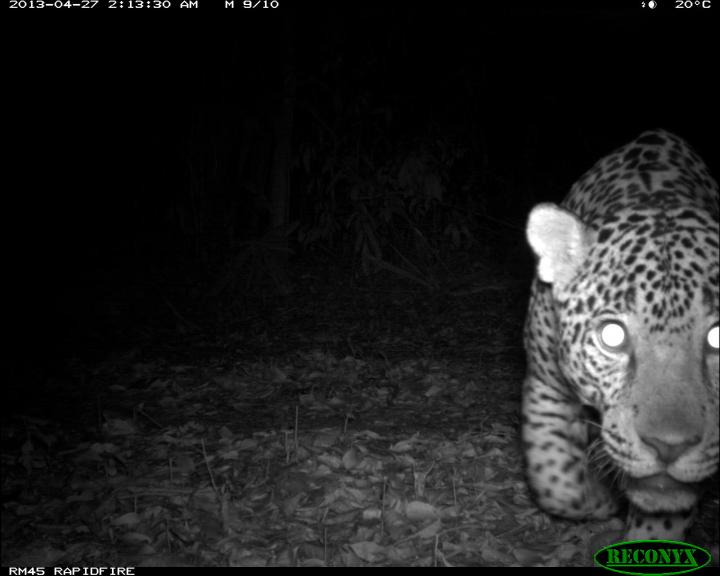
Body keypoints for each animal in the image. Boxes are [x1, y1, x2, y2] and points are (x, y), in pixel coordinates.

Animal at [522, 129, 719, 543]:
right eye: (611, 336)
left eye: (718, 336)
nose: (669, 447)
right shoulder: (545, 383)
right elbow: (555, 480)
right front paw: (601, 497)